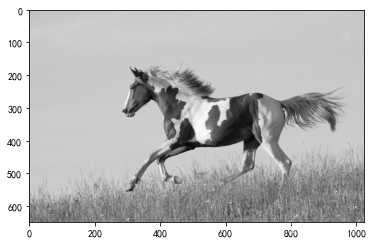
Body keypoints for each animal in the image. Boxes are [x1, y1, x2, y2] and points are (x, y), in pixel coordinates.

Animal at [121, 66, 342, 192]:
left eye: (132, 87)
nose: (125, 110)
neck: (178, 105)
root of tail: (279, 103)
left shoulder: (175, 140)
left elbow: (150, 156)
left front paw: (131, 184)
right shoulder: (187, 144)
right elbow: (160, 158)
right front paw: (174, 179)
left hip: (267, 140)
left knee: (284, 163)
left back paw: (280, 191)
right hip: (251, 141)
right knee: (247, 166)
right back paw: (215, 185)